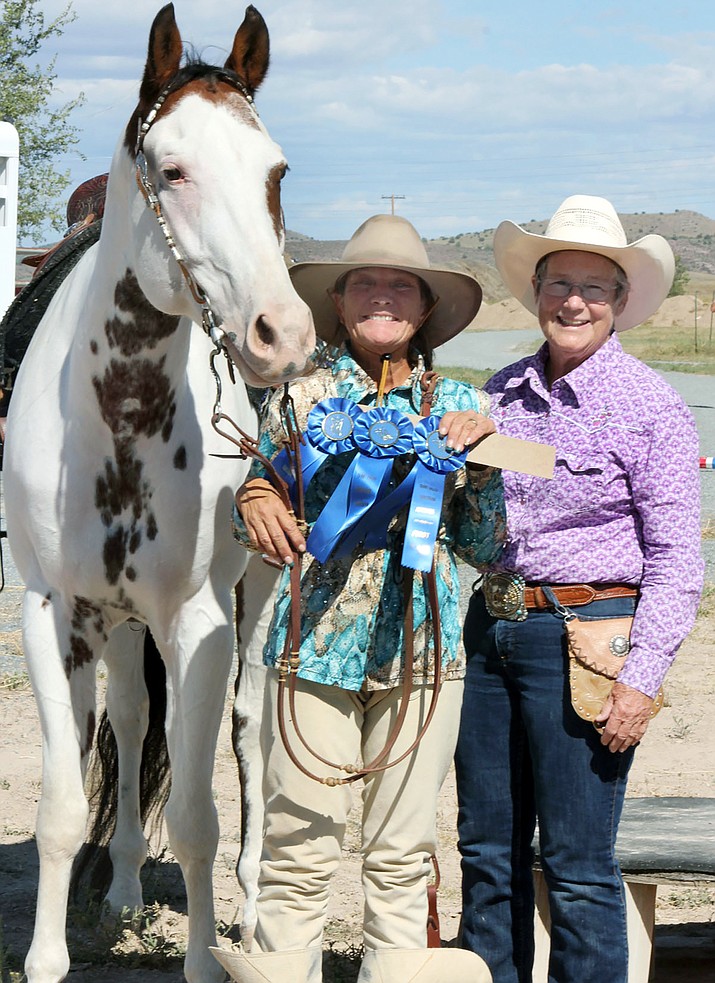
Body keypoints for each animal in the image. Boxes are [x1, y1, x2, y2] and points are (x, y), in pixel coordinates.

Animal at [4, 7, 314, 983]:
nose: (282, 336)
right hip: (119, 622)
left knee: (247, 731)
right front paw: (50, 956)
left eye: (276, 171)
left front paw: (209, 956)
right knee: (138, 723)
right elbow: (65, 805)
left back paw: (249, 906)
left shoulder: (198, 623)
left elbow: (200, 813)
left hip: (257, 597)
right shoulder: (55, 615)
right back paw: (128, 888)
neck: (120, 415)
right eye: (172, 169)